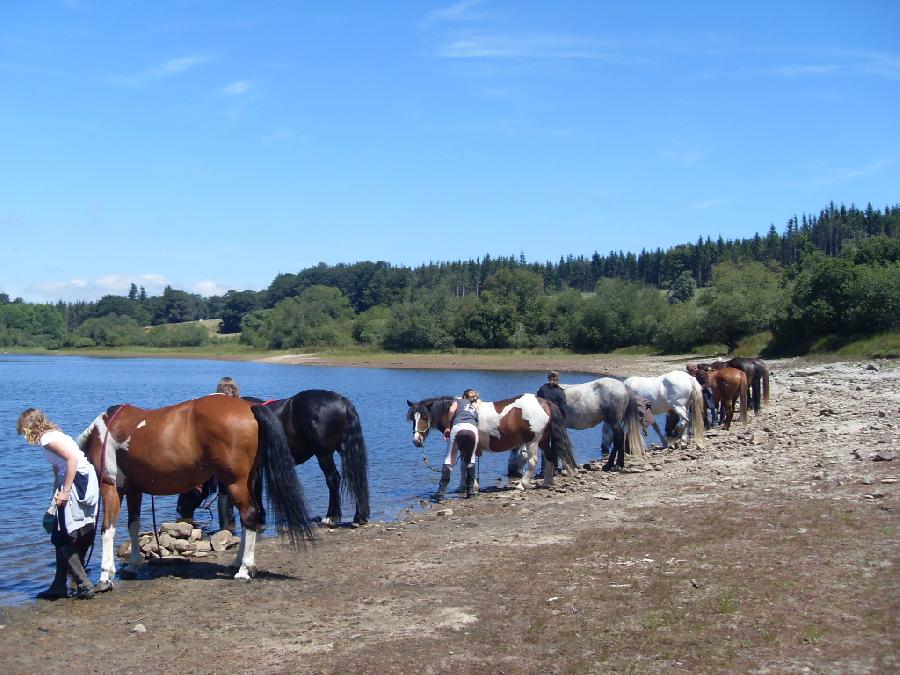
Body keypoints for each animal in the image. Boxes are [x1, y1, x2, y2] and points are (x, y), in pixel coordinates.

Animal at [78, 396, 316, 592]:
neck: (103, 433)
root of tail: (249, 408)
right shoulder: (135, 490)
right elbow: (133, 526)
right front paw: (133, 564)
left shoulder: (110, 486)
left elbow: (107, 529)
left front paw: (105, 576)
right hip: (246, 482)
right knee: (250, 518)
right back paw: (238, 563)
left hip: (235, 482)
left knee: (250, 515)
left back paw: (244, 570)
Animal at [179, 390, 370, 528]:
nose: (179, 508)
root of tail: (339, 399)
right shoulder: (257, 468)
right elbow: (257, 488)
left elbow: (254, 489)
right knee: (356, 477)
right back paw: (359, 516)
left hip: (323, 454)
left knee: (333, 479)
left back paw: (332, 517)